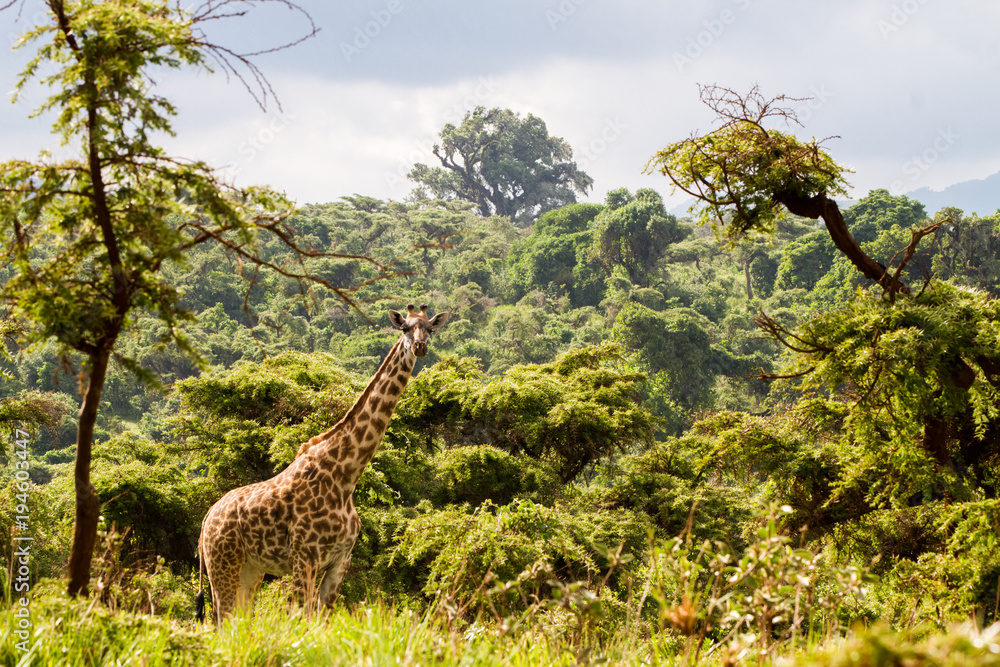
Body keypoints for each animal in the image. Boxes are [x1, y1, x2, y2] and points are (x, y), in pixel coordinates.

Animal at [195, 303, 449, 624]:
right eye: (404, 328)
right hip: (222, 564)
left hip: (250, 571)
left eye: (430, 329)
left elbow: (321, 621)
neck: (346, 475)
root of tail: (205, 520)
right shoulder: (305, 557)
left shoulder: (340, 561)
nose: (419, 347)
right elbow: (301, 617)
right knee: (221, 620)